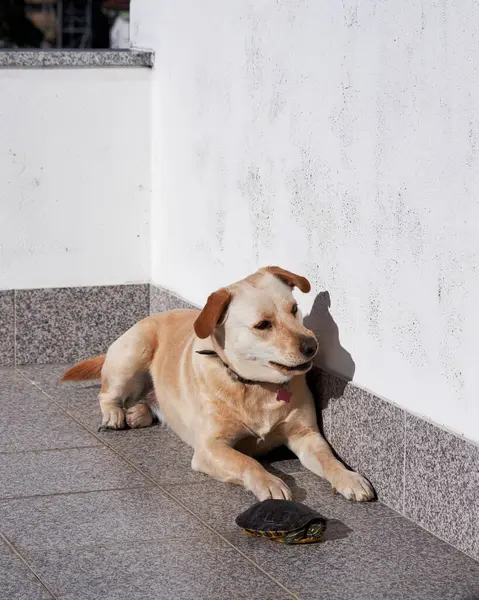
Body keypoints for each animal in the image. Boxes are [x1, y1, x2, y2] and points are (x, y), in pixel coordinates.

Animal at [62, 268, 374, 502]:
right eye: (263, 325)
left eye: (294, 309)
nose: (312, 346)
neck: (256, 386)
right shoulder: (210, 448)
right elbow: (247, 461)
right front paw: (269, 482)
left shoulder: (306, 435)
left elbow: (328, 457)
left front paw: (349, 477)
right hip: (133, 352)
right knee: (107, 394)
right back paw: (115, 414)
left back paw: (139, 412)